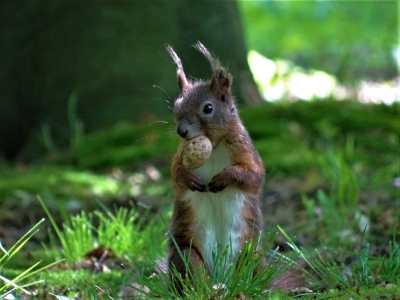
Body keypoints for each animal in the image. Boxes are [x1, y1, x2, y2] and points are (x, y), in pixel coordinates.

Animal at [166, 42, 266, 286]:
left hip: (250, 254)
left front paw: (224, 178)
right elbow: (175, 174)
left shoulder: (244, 149)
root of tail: (222, 277)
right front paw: (189, 179)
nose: (181, 131)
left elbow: (254, 175)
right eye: (176, 106)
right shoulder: (180, 153)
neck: (214, 143)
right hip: (187, 253)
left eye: (208, 108)